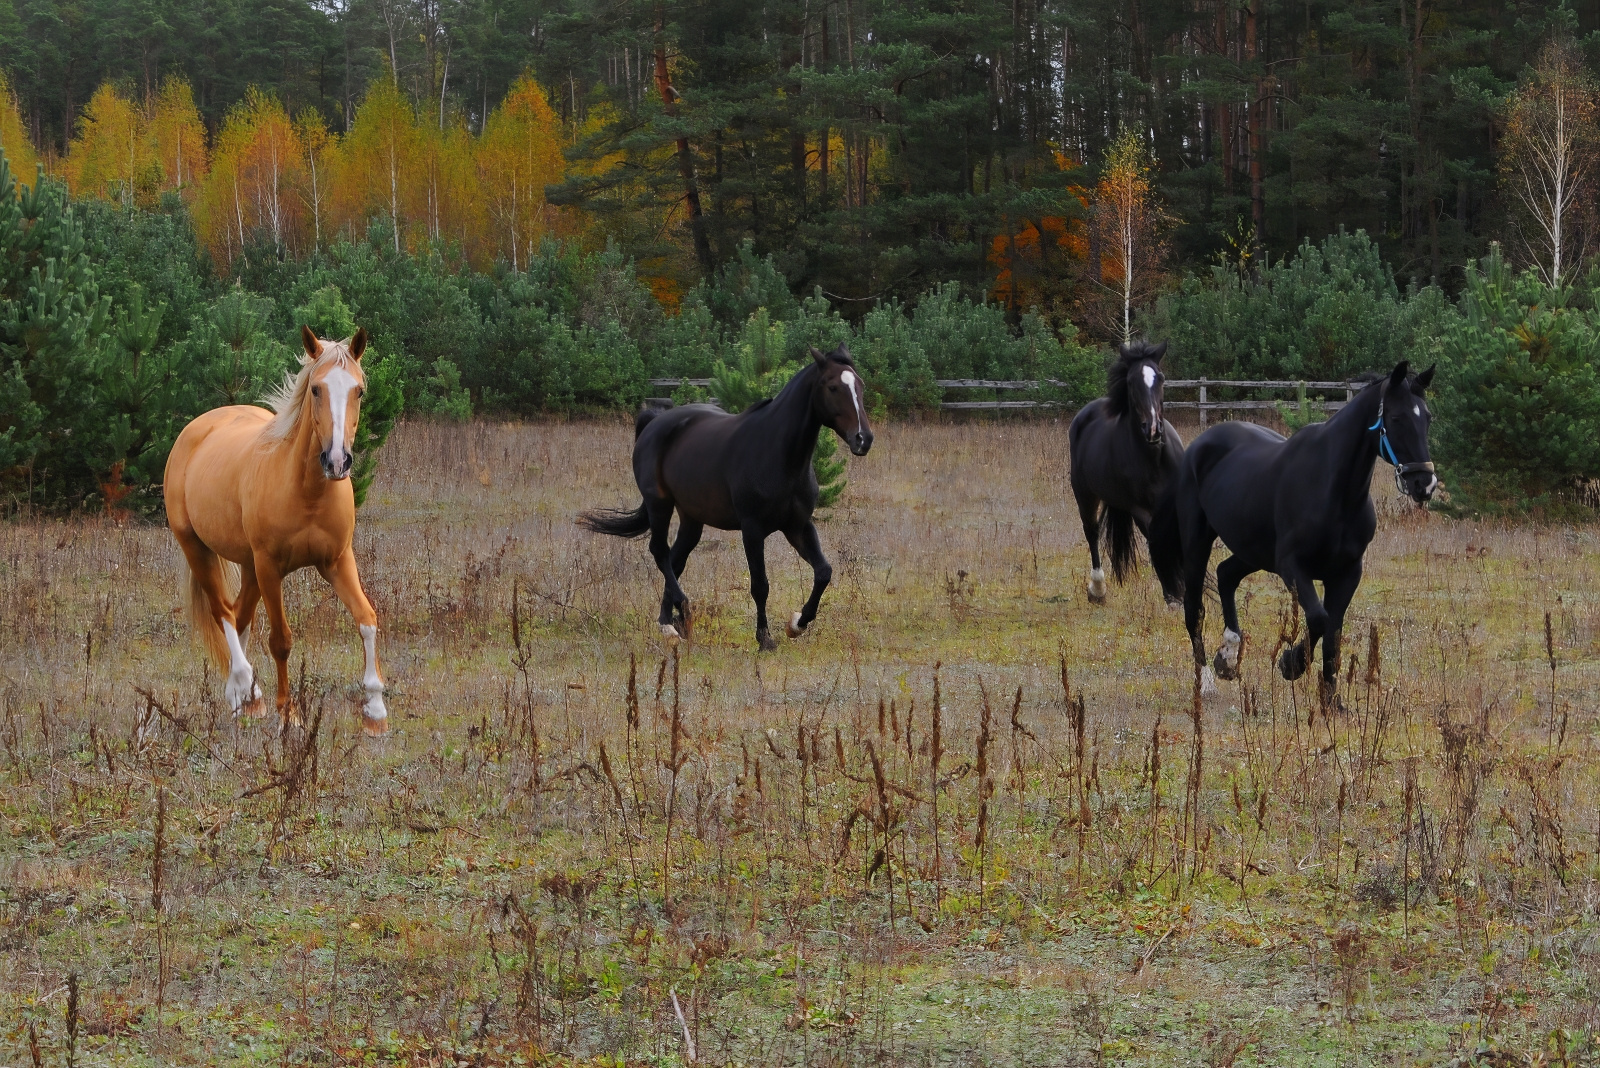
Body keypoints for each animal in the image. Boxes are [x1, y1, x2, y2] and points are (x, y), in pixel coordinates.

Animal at [164, 327, 389, 735]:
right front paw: (289, 714)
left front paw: (375, 710)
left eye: (359, 390)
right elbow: (281, 640)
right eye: (315, 389)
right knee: (223, 612)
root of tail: (196, 429)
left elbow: (366, 619)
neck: (306, 491)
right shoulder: (270, 567)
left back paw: (242, 698)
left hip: (249, 565)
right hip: (197, 548)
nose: (337, 461)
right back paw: (246, 689)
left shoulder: (337, 561)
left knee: (239, 617)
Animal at [579, 344, 873, 651]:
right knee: (659, 551)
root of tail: (654, 422)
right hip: (659, 504)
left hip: (691, 518)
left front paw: (797, 624)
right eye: (832, 387)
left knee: (675, 559)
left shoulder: (798, 526)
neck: (778, 453)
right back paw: (679, 616)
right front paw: (765, 639)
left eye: (860, 385)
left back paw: (669, 622)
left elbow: (823, 572)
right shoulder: (752, 530)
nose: (863, 439)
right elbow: (760, 585)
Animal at [1067, 339, 1184, 604]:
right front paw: (1174, 594)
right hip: (1084, 493)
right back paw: (1097, 590)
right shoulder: (1141, 511)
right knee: (1092, 531)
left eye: (1161, 377)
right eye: (1131, 382)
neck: (1154, 459)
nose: (1152, 429)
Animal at [1148, 361, 1437, 698]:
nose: (1424, 483)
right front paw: (1291, 664)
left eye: (1427, 417)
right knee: (1194, 608)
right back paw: (1206, 680)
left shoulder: (1347, 573)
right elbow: (1319, 620)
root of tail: (1195, 448)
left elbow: (1333, 633)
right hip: (1198, 543)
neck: (1332, 489)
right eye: (1396, 417)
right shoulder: (1292, 567)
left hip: (1254, 551)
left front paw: (1332, 701)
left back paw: (1228, 658)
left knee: (1225, 574)